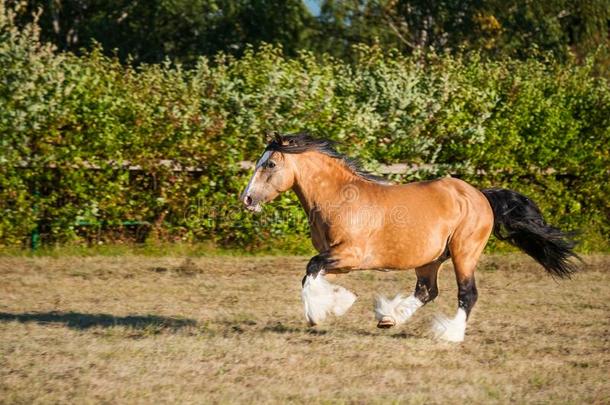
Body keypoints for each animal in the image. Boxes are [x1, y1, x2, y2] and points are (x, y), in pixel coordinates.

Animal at [240, 133, 576, 340]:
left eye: (270, 164)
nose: (247, 199)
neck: (339, 198)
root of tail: (480, 195)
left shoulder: (350, 255)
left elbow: (310, 269)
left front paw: (319, 313)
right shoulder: (337, 259)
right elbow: (312, 275)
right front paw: (336, 304)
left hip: (464, 253)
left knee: (467, 293)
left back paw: (449, 334)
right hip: (430, 259)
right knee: (427, 291)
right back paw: (390, 317)